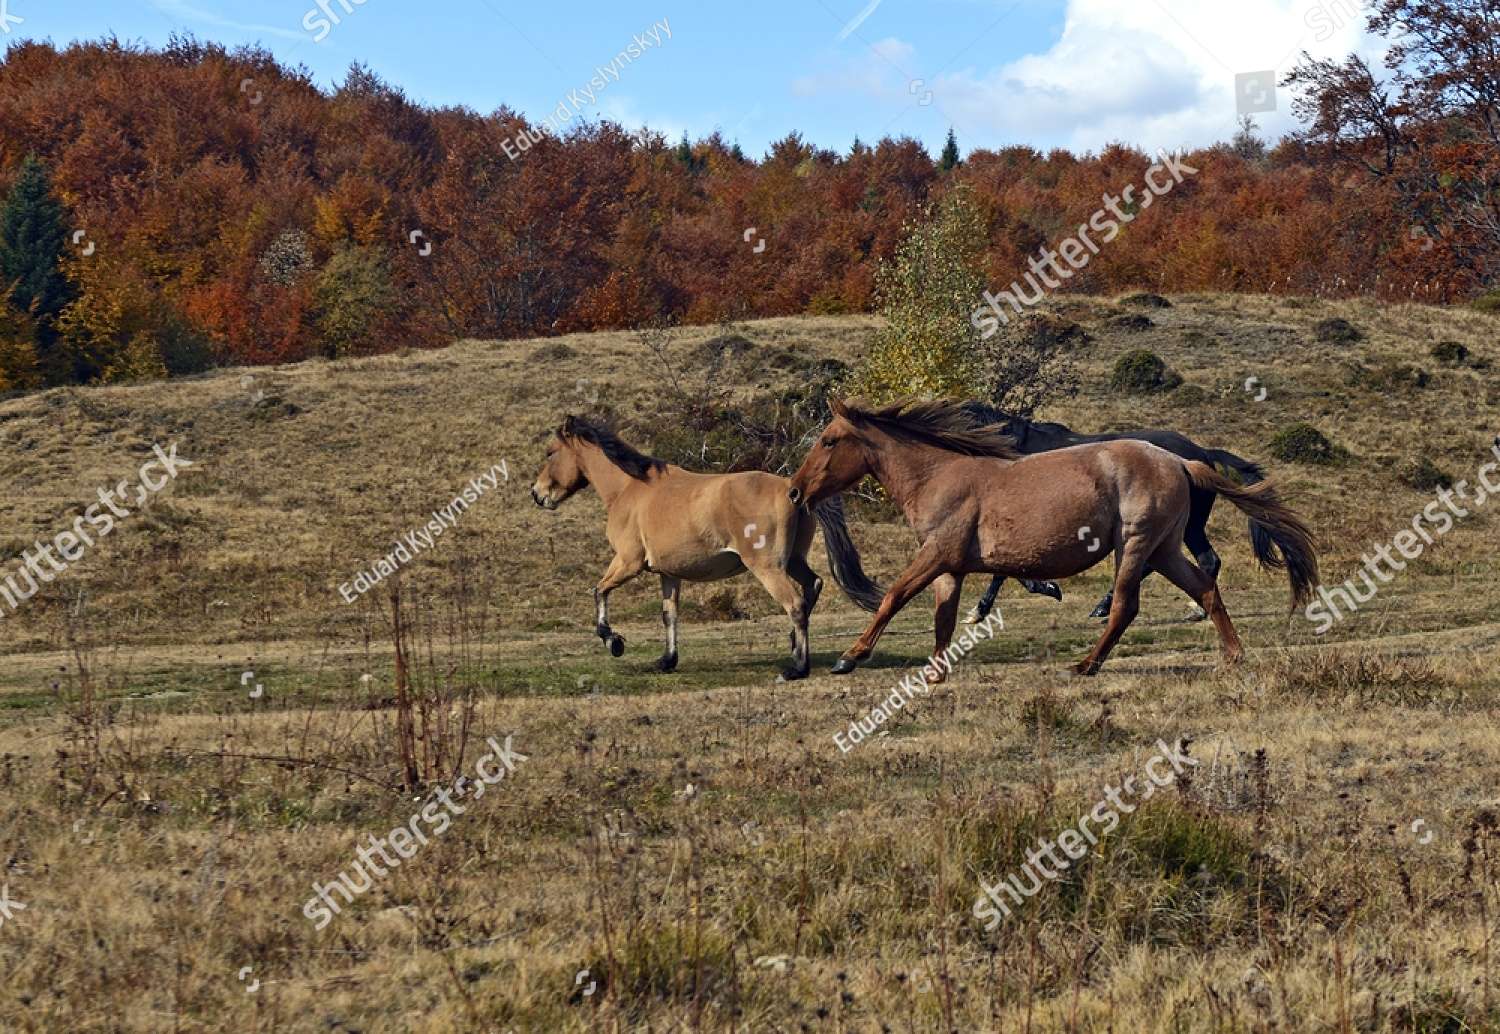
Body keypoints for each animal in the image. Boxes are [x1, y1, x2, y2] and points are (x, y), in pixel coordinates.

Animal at [531, 414, 882, 681]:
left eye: (550, 452)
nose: (537, 494)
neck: (629, 489)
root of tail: (791, 487)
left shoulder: (628, 562)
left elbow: (599, 591)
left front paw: (613, 641)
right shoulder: (668, 573)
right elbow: (669, 615)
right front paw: (666, 660)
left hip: (768, 567)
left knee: (795, 603)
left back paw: (797, 667)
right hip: (794, 560)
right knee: (813, 585)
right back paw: (793, 644)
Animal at [786, 396, 1314, 678]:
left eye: (828, 440)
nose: (795, 491)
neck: (938, 475)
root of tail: (1184, 459)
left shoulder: (935, 555)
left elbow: (893, 597)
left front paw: (850, 658)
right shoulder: (951, 567)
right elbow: (944, 619)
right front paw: (936, 672)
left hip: (1135, 546)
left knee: (1127, 606)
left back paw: (1086, 664)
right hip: (1164, 548)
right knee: (1204, 587)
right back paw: (1232, 654)